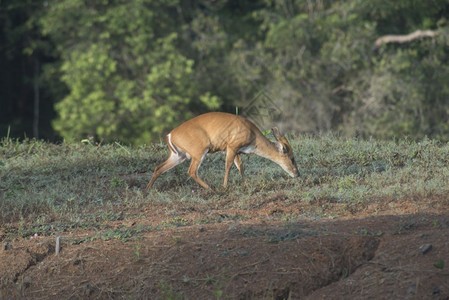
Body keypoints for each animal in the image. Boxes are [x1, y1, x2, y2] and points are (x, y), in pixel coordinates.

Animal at [146, 111, 298, 191]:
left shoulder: (237, 151)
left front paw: (246, 184)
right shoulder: (232, 146)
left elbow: (240, 166)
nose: (297, 173)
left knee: (159, 168)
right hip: (199, 151)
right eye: (292, 158)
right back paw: (210, 188)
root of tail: (170, 135)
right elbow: (228, 166)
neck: (253, 136)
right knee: (191, 171)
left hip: (179, 156)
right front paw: (225, 186)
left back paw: (146, 191)